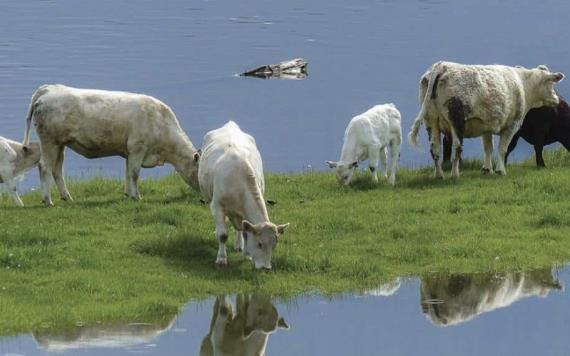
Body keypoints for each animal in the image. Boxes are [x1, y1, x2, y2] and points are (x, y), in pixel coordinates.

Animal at [21, 84, 200, 206]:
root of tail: (49, 89)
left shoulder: (130, 152)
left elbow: (128, 172)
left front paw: (128, 194)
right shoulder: (138, 148)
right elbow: (134, 173)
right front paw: (137, 196)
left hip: (60, 145)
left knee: (57, 170)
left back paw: (67, 197)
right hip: (49, 141)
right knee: (45, 166)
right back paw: (48, 200)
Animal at [199, 121, 288, 268]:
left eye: (274, 245)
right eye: (260, 244)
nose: (266, 268)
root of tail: (230, 124)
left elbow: (246, 232)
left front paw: (246, 255)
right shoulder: (217, 206)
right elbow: (223, 234)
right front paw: (221, 258)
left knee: (239, 228)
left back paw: (238, 245)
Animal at [406, 62, 560, 178]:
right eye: (551, 84)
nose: (557, 99)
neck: (523, 84)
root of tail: (442, 65)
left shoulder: (487, 126)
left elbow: (488, 148)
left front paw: (487, 169)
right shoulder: (512, 125)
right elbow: (502, 149)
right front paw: (500, 170)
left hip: (431, 121)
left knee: (435, 149)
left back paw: (439, 175)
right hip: (456, 120)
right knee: (456, 147)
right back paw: (455, 175)